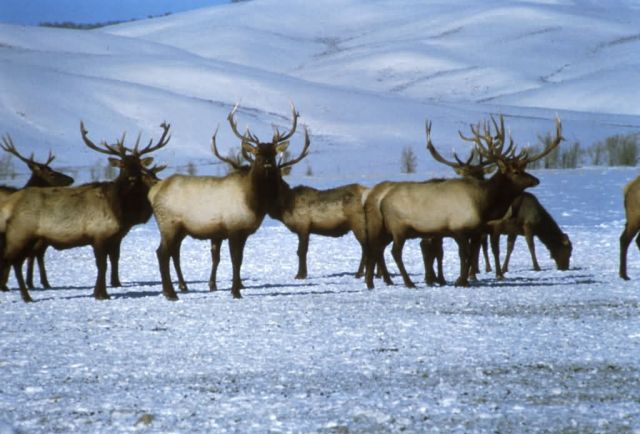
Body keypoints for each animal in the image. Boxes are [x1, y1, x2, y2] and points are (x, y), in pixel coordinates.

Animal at [150, 102, 310, 298]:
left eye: (273, 153)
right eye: (257, 153)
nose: (267, 164)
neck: (254, 203)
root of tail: (153, 192)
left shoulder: (243, 232)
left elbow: (239, 260)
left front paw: (236, 287)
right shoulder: (233, 228)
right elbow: (235, 260)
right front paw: (235, 291)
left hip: (177, 228)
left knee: (167, 252)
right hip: (169, 223)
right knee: (162, 253)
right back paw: (171, 293)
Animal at [362, 115, 564, 288]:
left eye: (525, 168)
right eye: (516, 171)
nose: (535, 180)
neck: (484, 204)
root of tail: (381, 200)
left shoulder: (475, 231)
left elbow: (471, 254)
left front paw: (464, 279)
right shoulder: (458, 228)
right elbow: (464, 254)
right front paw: (461, 281)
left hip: (386, 229)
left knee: (374, 248)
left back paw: (371, 283)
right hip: (399, 228)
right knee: (394, 252)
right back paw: (408, 282)